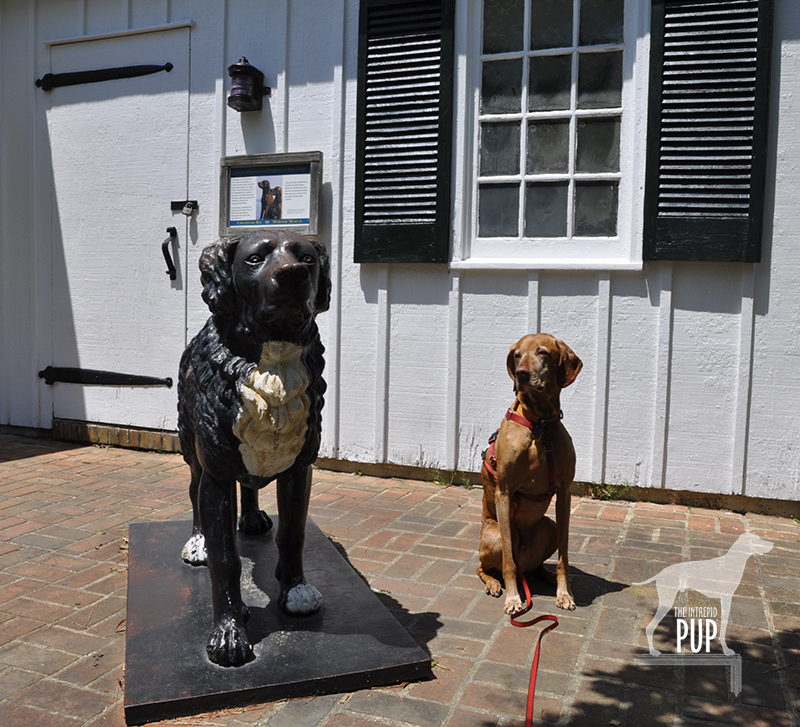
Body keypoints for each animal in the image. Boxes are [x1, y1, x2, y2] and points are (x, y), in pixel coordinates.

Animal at [476, 334, 580, 616]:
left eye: (542, 352)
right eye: (517, 355)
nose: (521, 373)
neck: (539, 425)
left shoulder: (565, 491)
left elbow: (564, 557)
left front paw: (564, 593)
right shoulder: (504, 491)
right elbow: (508, 565)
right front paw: (513, 598)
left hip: (548, 526)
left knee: (536, 566)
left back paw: (546, 575)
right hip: (494, 536)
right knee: (488, 566)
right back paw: (494, 583)